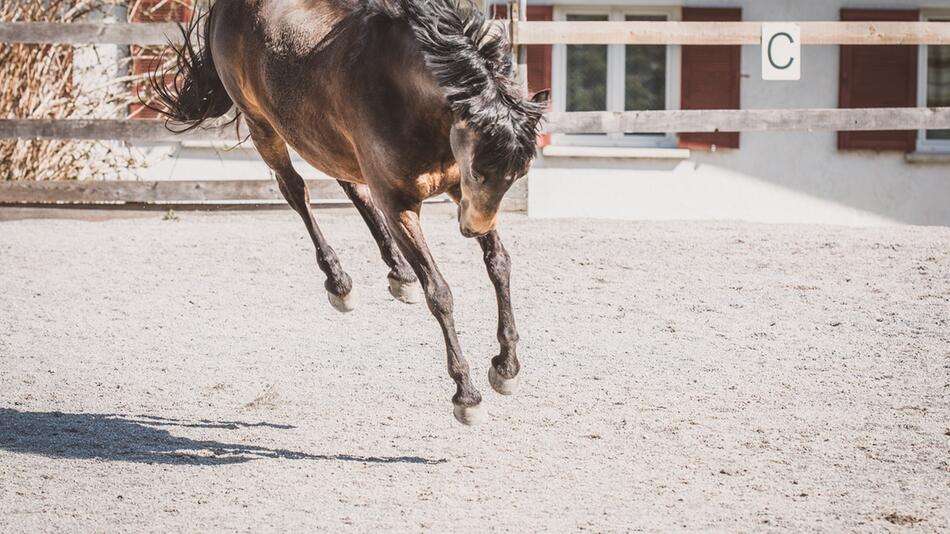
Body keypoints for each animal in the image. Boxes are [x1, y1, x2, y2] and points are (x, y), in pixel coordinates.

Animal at [149, 0, 552, 428]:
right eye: (479, 170)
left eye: (519, 174)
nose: (471, 229)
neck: (407, 95)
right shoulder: (400, 205)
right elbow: (440, 292)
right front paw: (467, 396)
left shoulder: (461, 192)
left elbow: (499, 264)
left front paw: (506, 368)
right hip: (263, 126)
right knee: (296, 190)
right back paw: (339, 282)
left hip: (326, 137)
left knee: (349, 184)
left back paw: (399, 274)